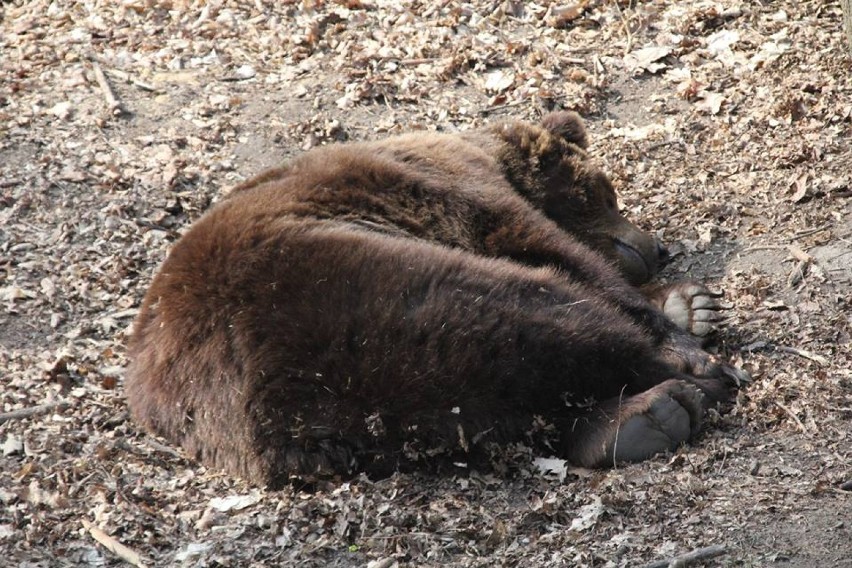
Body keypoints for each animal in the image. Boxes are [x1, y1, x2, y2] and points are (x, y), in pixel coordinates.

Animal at [125, 113, 744, 486]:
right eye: (604, 192)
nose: (657, 247)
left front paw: (692, 304)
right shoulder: (459, 193)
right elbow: (558, 253)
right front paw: (682, 322)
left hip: (387, 415)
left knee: (520, 401)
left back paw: (646, 419)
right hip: (372, 291)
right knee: (557, 318)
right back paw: (694, 381)